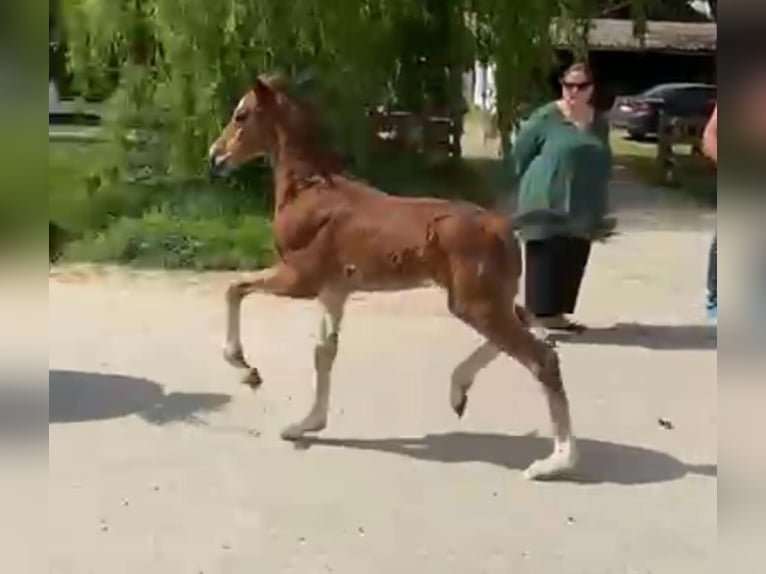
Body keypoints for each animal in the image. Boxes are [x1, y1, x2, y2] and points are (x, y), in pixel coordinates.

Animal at [207, 75, 580, 482]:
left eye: (241, 115)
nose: (215, 156)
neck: (309, 190)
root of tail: (504, 226)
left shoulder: (299, 279)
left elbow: (235, 288)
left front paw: (245, 367)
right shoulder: (334, 289)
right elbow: (325, 352)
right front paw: (306, 425)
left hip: (475, 303)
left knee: (541, 357)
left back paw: (556, 461)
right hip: (481, 298)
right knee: (528, 327)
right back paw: (459, 391)